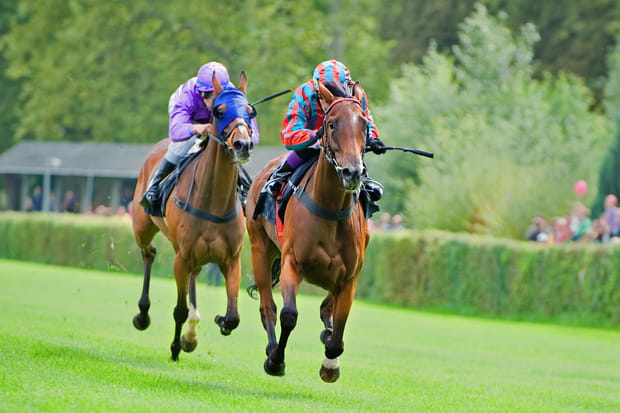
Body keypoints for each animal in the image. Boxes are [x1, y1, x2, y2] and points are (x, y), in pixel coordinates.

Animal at [132, 71, 256, 360]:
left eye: (249, 111)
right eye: (219, 111)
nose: (243, 144)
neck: (213, 201)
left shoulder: (231, 259)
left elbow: (233, 316)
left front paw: (216, 322)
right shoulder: (182, 257)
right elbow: (178, 310)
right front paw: (175, 348)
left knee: (193, 276)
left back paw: (191, 332)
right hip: (142, 227)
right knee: (149, 253)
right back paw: (143, 315)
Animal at [243, 79, 370, 380]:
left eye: (364, 125)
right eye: (332, 124)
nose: (352, 173)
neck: (331, 209)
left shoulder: (349, 278)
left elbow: (338, 332)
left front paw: (330, 365)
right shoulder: (292, 262)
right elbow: (289, 315)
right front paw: (276, 361)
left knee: (327, 310)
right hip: (260, 248)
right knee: (267, 306)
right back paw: (272, 349)